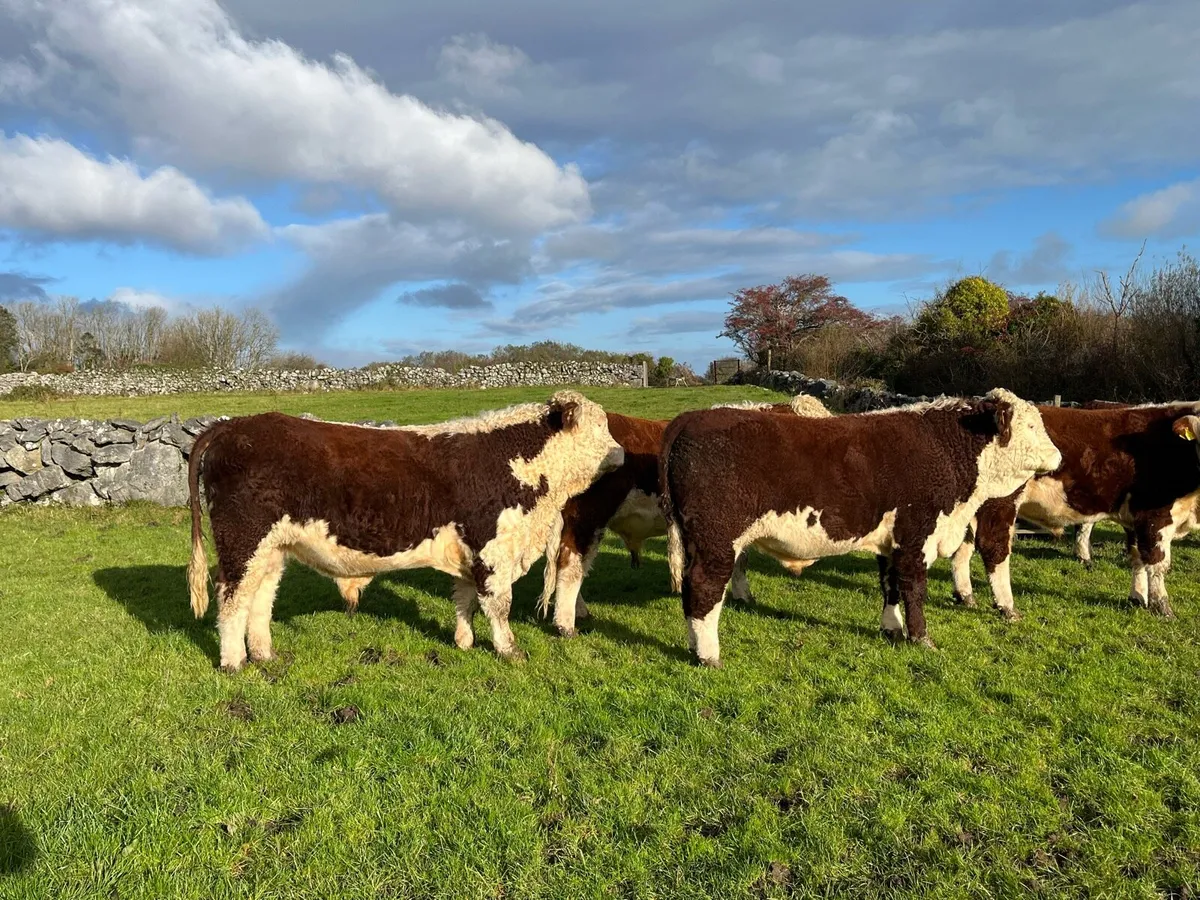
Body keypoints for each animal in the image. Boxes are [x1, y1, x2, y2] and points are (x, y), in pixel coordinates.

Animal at [185, 391, 624, 671]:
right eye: (599, 427)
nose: (621, 453)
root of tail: (234, 426)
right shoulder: (493, 550)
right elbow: (498, 605)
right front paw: (510, 651)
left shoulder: (471, 551)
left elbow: (464, 598)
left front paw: (463, 642)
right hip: (242, 541)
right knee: (232, 600)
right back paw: (234, 663)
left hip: (272, 549)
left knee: (260, 597)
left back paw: (264, 655)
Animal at [659, 388, 1062, 667]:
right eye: (1029, 425)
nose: (1058, 457)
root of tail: (691, 418)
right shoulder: (917, 534)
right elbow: (915, 589)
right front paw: (921, 639)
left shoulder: (891, 541)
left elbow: (890, 585)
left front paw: (892, 629)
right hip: (717, 541)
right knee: (704, 589)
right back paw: (709, 655)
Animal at [949, 402, 1200, 621]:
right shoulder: (1155, 516)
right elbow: (1158, 563)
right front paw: (1163, 608)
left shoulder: (1134, 518)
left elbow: (1137, 556)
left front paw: (1138, 597)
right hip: (1001, 499)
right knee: (994, 547)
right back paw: (1007, 607)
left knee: (963, 545)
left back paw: (966, 596)